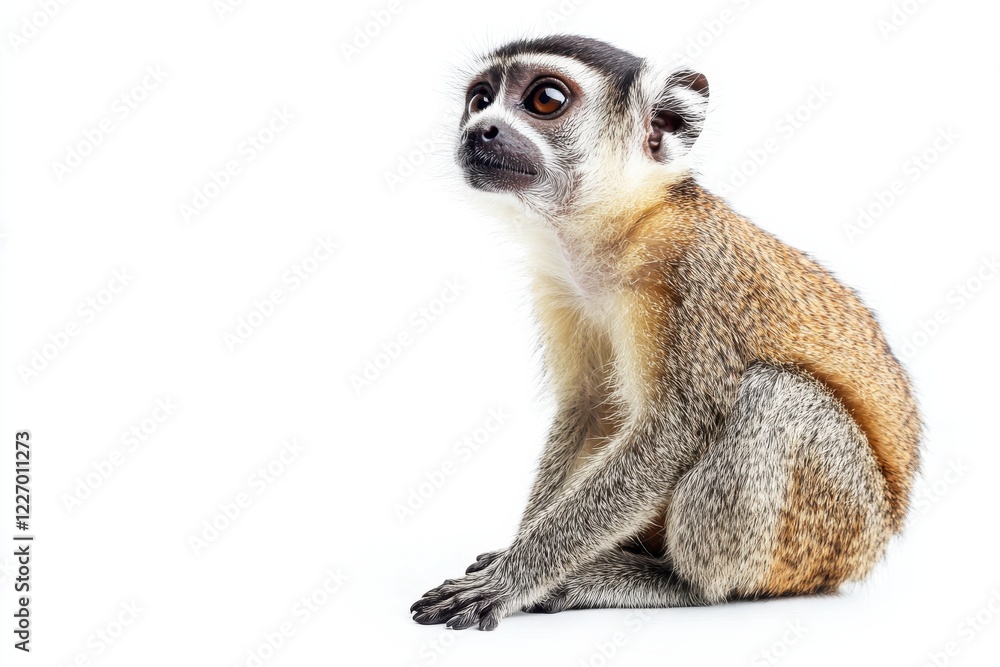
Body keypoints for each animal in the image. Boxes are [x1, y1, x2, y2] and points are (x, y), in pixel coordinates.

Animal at [409, 35, 921, 631]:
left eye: (545, 100)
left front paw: (514, 578)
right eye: (479, 99)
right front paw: (514, 554)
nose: (480, 128)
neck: (616, 232)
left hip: (837, 531)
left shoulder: (693, 266)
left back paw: (680, 584)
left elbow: (671, 433)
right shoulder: (557, 283)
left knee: (776, 394)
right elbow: (589, 407)